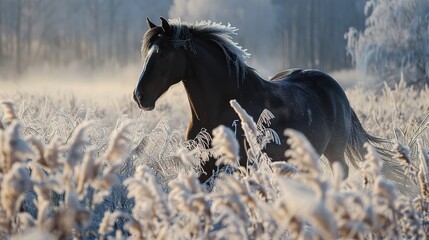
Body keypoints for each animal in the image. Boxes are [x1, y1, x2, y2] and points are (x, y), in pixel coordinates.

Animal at [133, 17, 378, 182]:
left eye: (163, 53)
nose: (139, 96)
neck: (219, 108)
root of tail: (335, 88)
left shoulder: (243, 166)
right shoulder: (205, 167)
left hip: (334, 153)